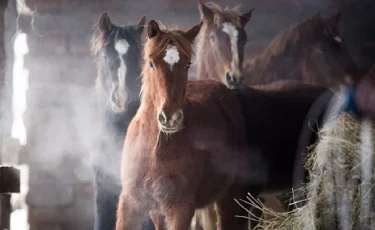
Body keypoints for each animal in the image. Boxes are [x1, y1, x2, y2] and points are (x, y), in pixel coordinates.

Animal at [114, 19, 264, 230]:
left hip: (229, 197)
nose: (170, 117)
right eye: (151, 64)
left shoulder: (181, 209)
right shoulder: (130, 203)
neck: (154, 149)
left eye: (187, 65)